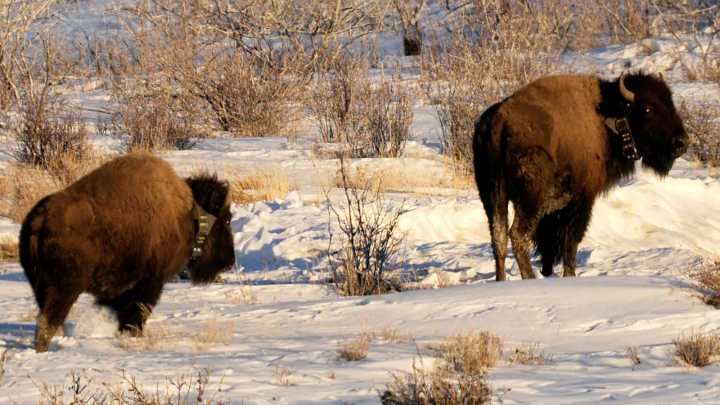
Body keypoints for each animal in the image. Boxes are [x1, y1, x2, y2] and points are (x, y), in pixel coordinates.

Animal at [19, 152, 236, 352]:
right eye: (226, 219)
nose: (229, 262)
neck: (189, 214)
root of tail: (40, 219)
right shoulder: (149, 285)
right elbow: (136, 315)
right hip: (64, 289)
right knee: (48, 321)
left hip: (41, 287)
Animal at [473, 72, 688, 281]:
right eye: (648, 109)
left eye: (670, 103)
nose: (681, 143)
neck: (606, 117)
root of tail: (500, 121)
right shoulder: (581, 200)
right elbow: (571, 243)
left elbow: (549, 249)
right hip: (529, 199)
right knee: (517, 235)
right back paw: (529, 277)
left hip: (492, 195)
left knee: (499, 237)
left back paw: (501, 280)